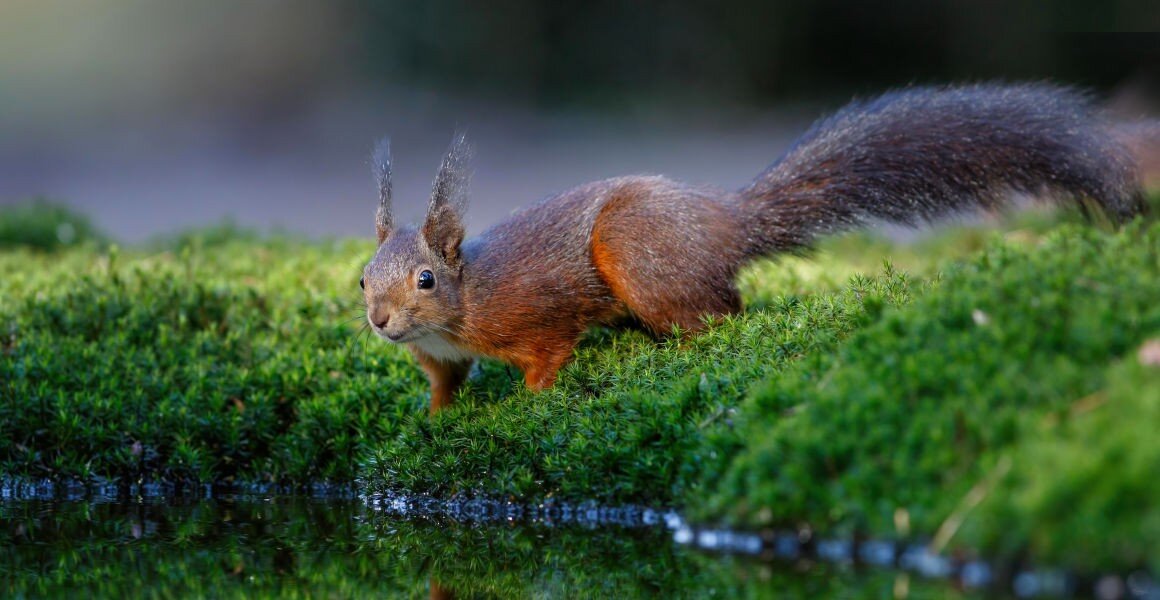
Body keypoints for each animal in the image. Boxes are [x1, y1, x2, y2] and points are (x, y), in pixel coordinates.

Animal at [359, 82, 1150, 410]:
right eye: (362, 280)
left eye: (426, 279)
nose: (380, 321)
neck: (464, 305)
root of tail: (725, 222)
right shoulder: (440, 356)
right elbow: (444, 385)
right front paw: (433, 417)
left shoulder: (535, 311)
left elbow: (549, 353)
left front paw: (531, 403)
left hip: (637, 254)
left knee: (721, 314)